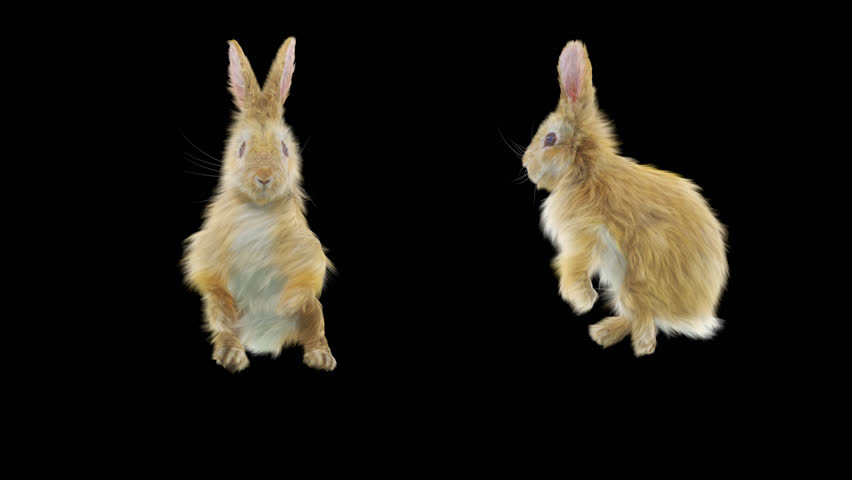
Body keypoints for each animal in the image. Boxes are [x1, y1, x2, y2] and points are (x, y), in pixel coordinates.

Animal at [182, 38, 336, 372]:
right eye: (241, 148)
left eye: (284, 148)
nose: (264, 177)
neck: (259, 209)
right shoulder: (209, 256)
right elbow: (212, 284)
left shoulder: (307, 256)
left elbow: (305, 280)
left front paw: (287, 302)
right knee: (225, 328)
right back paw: (232, 356)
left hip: (314, 313)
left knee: (315, 328)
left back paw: (321, 358)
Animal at [522, 41, 728, 356]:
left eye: (550, 139)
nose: (525, 165)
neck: (585, 170)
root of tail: (698, 315)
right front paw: (583, 301)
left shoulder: (585, 235)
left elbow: (574, 265)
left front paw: (581, 300)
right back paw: (603, 333)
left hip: (634, 281)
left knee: (645, 326)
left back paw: (622, 340)